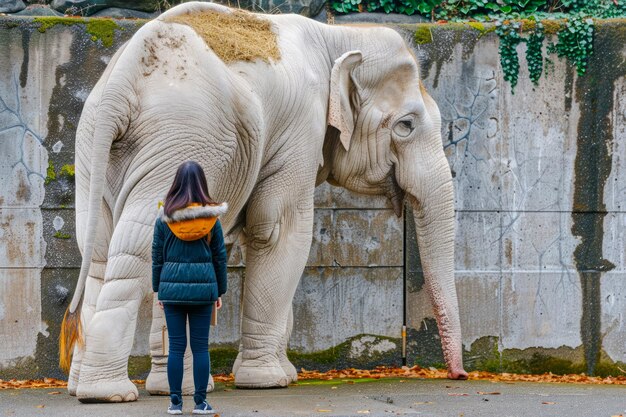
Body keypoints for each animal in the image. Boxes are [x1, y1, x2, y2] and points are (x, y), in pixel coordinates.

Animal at [61, 0, 466, 404]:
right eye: (406, 126)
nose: (459, 376)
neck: (338, 37)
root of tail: (122, 83)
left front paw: (273, 375)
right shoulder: (301, 129)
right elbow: (278, 231)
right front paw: (269, 380)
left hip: (98, 147)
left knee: (100, 251)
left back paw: (92, 387)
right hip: (181, 140)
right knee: (138, 246)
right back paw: (108, 393)